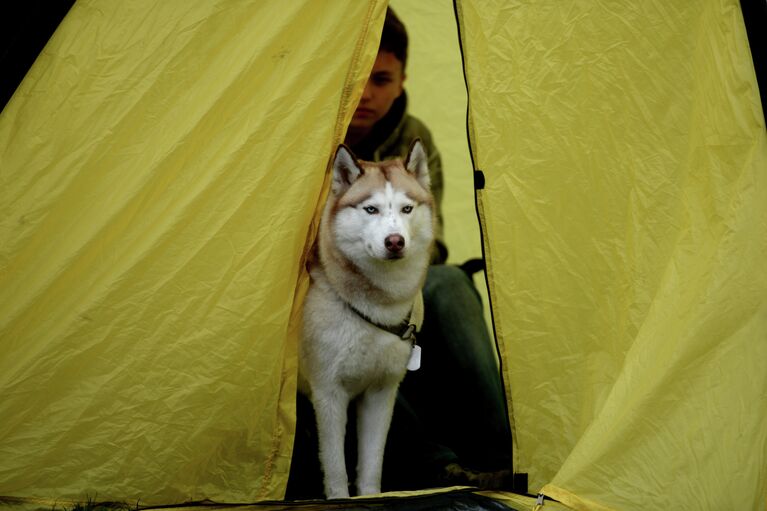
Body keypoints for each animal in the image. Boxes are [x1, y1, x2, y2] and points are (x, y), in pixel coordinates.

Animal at [298, 140, 436, 500]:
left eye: (406, 209)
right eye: (370, 209)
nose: (395, 241)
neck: (377, 306)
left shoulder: (381, 392)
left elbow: (371, 466)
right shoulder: (328, 392)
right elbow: (335, 469)